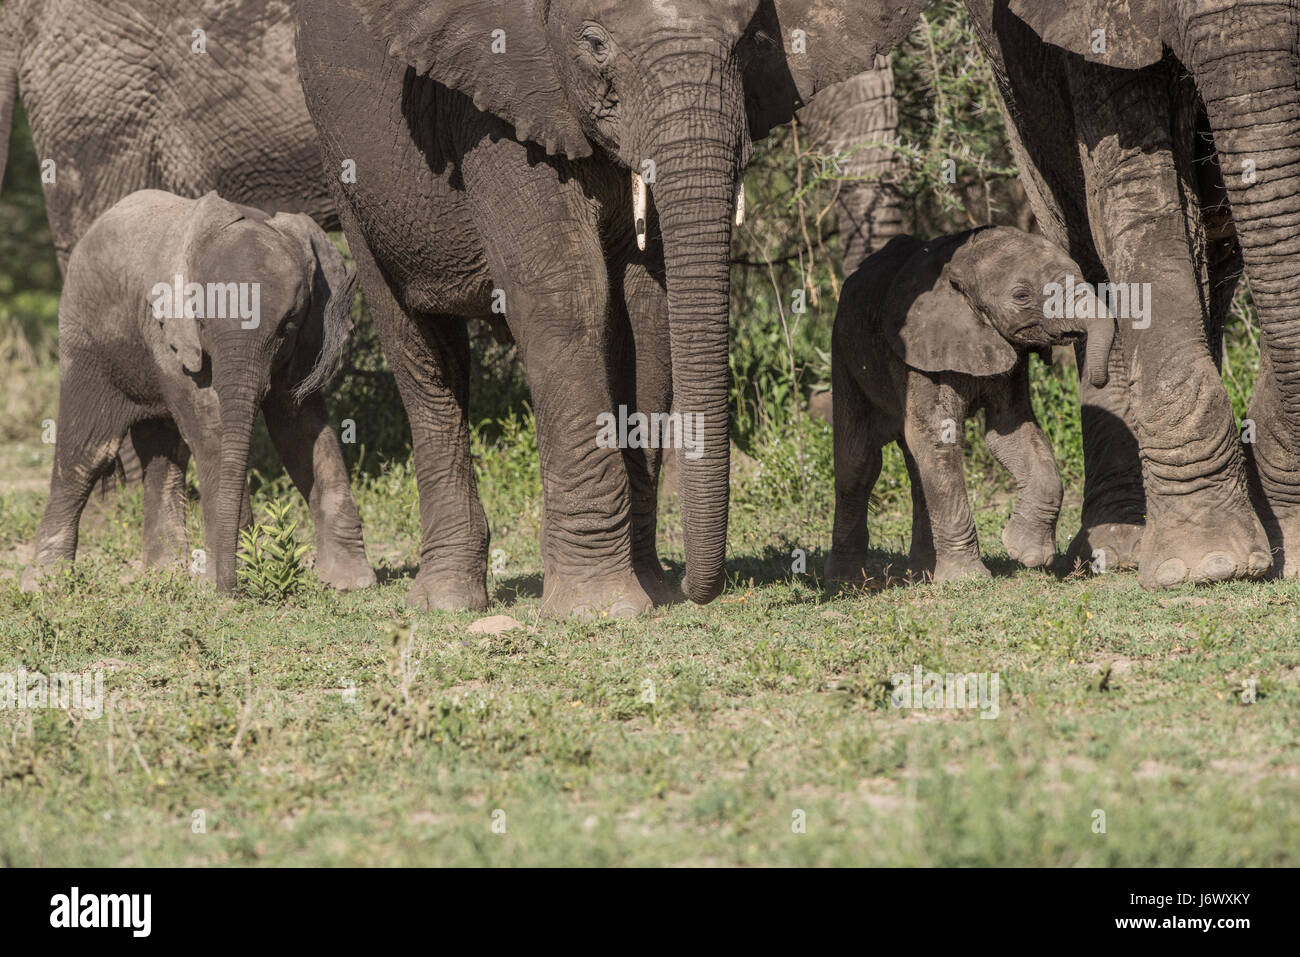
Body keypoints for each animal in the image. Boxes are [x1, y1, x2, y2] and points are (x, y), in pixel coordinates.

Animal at [25, 191, 377, 595]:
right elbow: (210, 426)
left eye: (288, 323)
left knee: (165, 452)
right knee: (86, 451)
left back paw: (164, 573)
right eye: (204, 322)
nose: (230, 589)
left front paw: (351, 583)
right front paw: (231, 581)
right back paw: (44, 584)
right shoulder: (168, 334)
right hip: (86, 339)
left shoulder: (308, 339)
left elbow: (301, 428)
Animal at [295, 0, 925, 616]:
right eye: (594, 44)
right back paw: (445, 603)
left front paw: (651, 594)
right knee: (419, 344)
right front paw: (600, 608)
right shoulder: (496, 100)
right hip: (343, 158)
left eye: (752, 40)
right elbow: (564, 294)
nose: (697, 592)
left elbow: (647, 311)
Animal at [826, 226, 1112, 582]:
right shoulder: (921, 353)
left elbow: (1009, 432)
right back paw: (846, 580)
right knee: (859, 461)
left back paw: (922, 573)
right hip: (843, 351)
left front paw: (1027, 554)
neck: (962, 262)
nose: (1098, 379)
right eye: (1021, 296)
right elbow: (937, 438)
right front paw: (968, 578)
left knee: (914, 466)